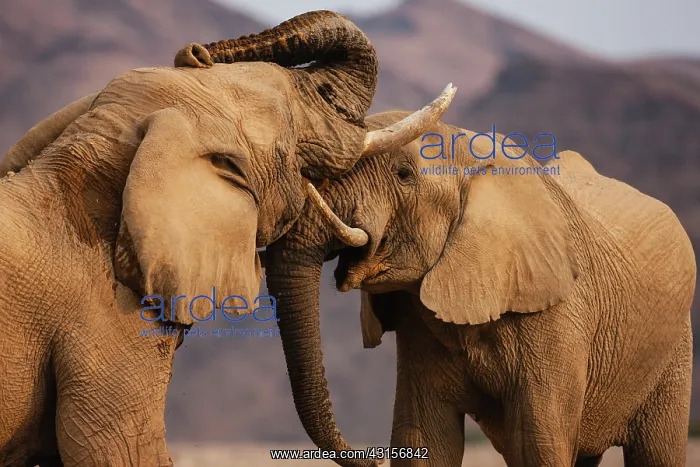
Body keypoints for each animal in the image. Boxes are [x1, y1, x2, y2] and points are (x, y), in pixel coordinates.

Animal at [264, 110, 697, 466]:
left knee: (656, 451)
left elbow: (540, 443)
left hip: (674, 350)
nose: (370, 459)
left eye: (404, 174)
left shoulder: (557, 317)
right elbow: (423, 440)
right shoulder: (420, 327)